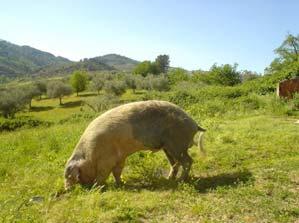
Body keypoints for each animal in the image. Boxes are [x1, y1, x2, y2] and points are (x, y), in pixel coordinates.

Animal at [64, 100, 206, 189]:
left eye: (69, 176)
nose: (66, 189)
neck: (89, 156)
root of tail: (194, 124)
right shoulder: (120, 157)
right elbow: (117, 171)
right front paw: (121, 184)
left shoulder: (106, 160)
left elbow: (103, 174)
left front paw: (96, 187)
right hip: (168, 148)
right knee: (176, 163)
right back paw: (168, 179)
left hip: (177, 145)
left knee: (188, 161)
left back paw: (181, 180)